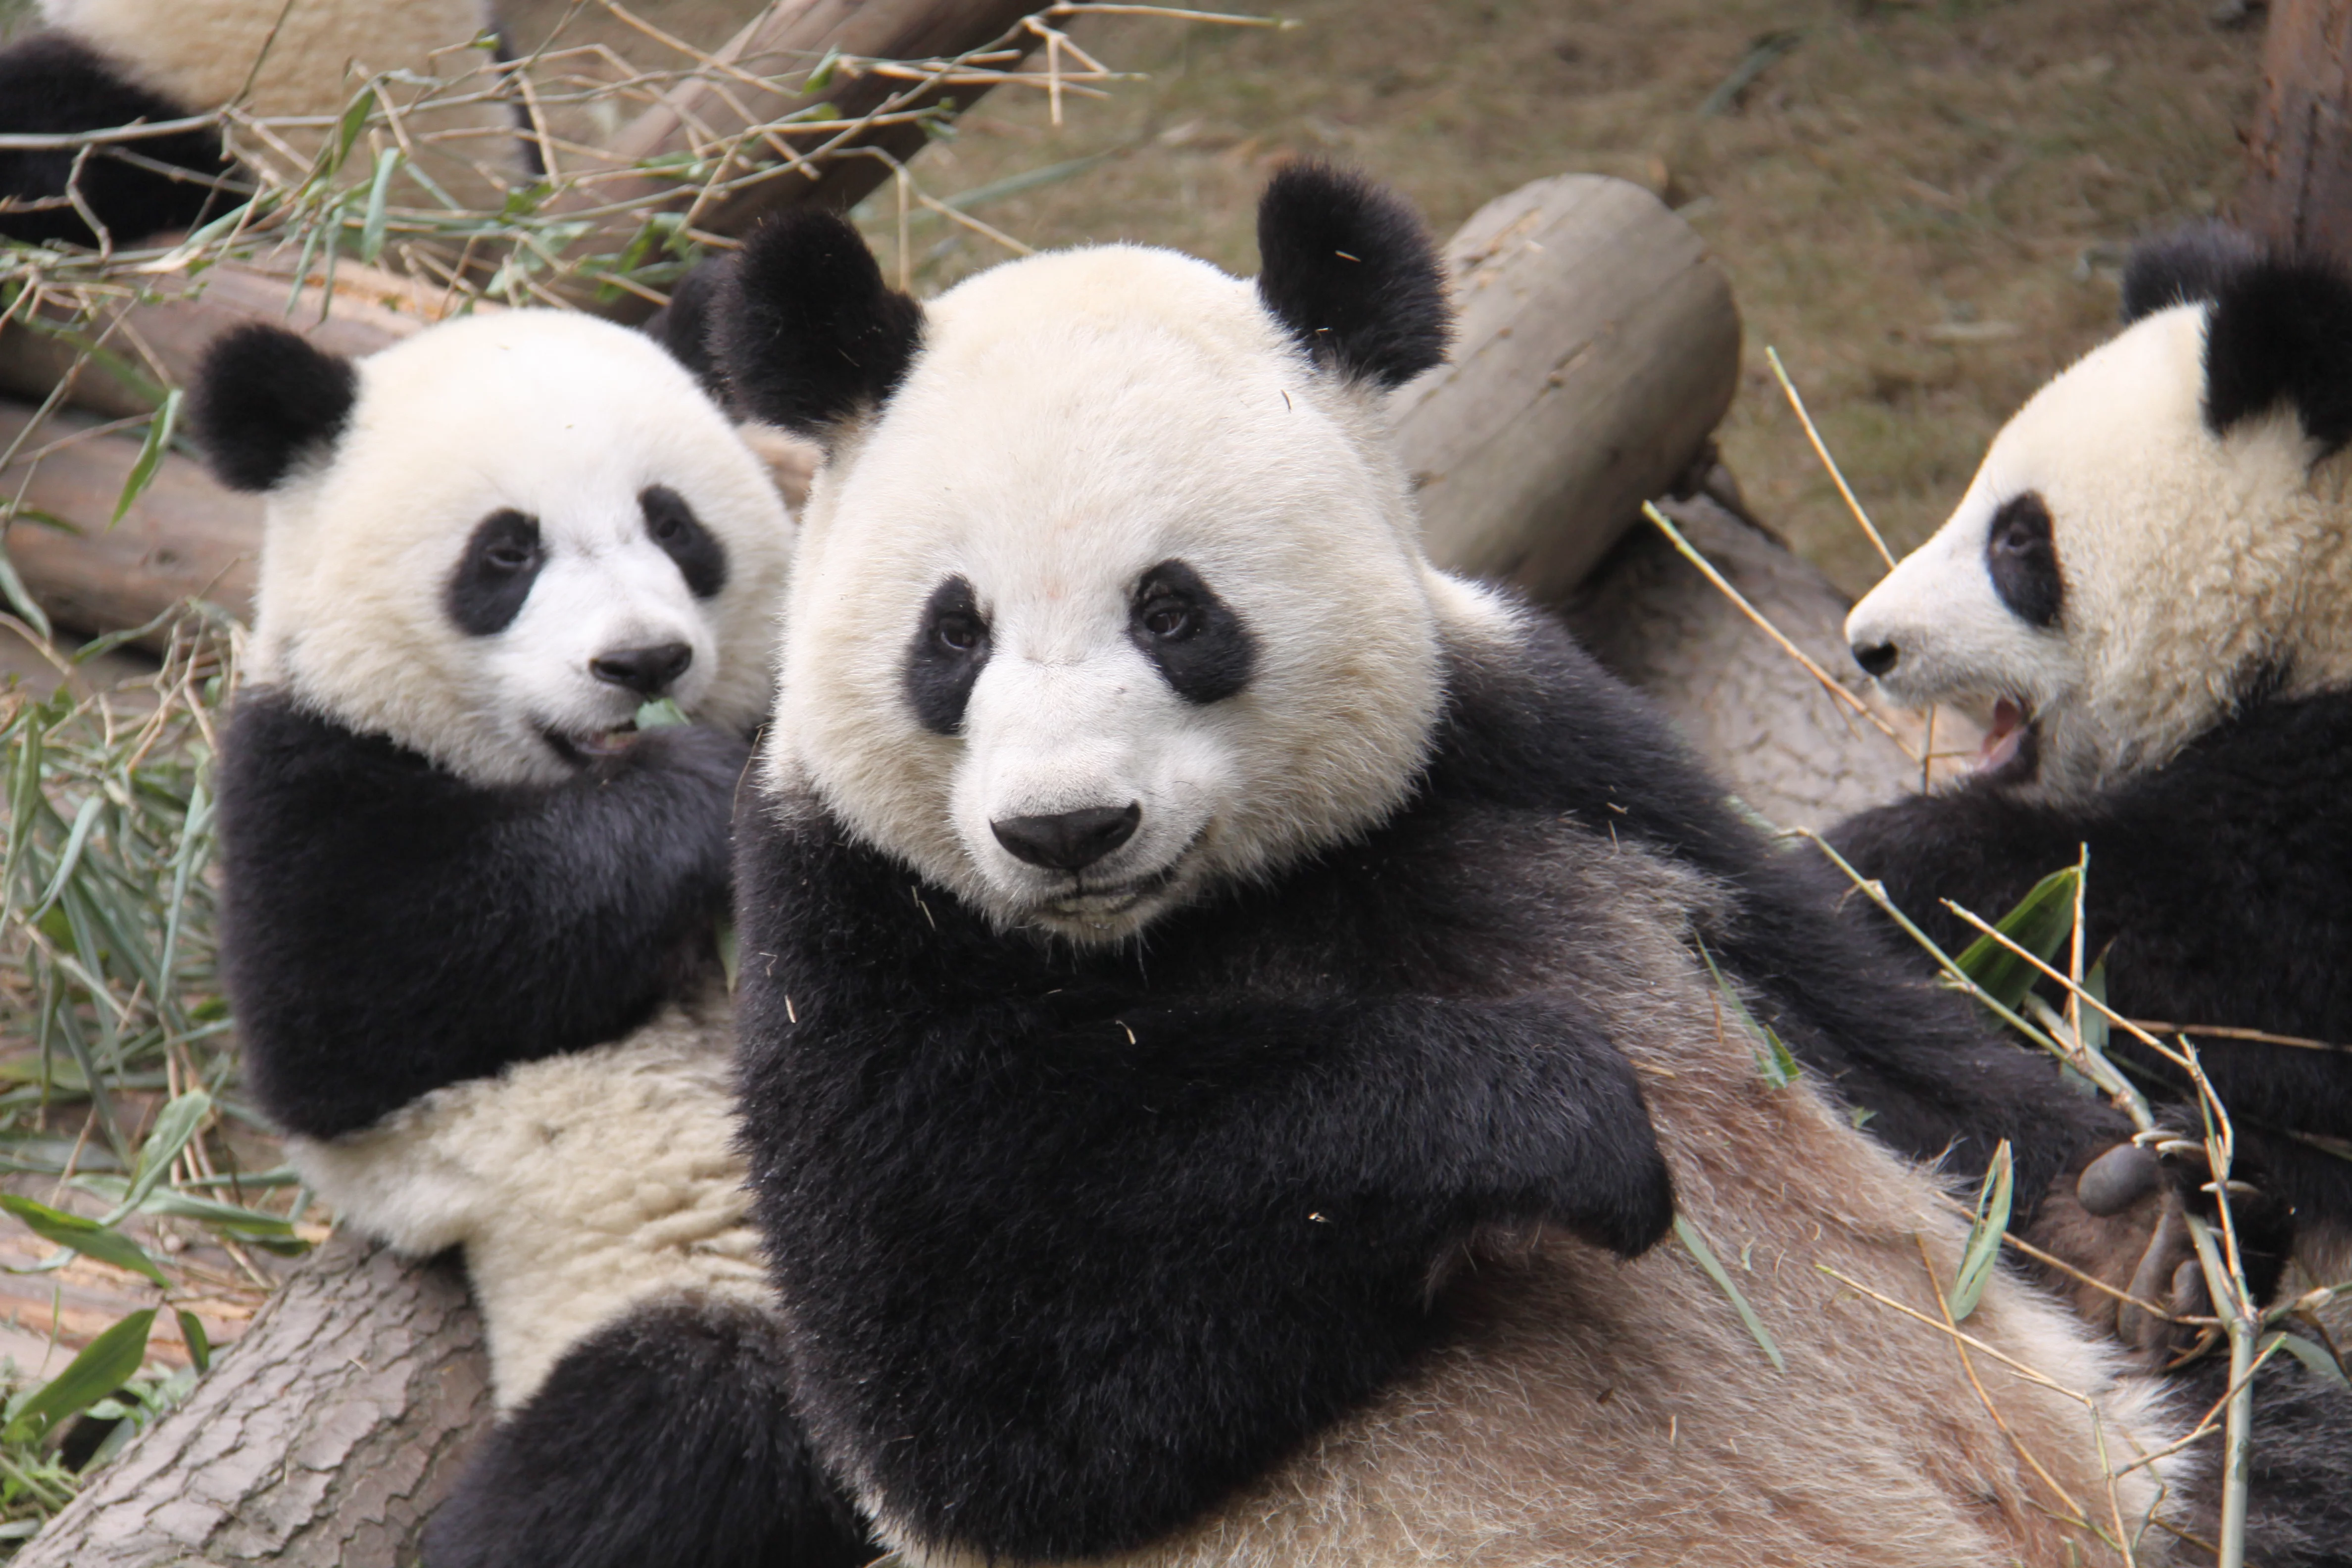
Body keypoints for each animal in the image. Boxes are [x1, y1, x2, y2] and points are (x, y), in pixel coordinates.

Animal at [190, 310, 871, 1568]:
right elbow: (347, 1005)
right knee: (670, 1437)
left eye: (673, 523)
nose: (643, 662)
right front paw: (696, 788)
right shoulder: (303, 767)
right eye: (505, 555)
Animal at [712, 166, 2197, 1566]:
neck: (1187, 921)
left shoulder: (1537, 750)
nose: (1066, 828)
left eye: (1173, 610)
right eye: (952, 633)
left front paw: (2124, 1224)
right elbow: (979, 1380)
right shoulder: (847, 929)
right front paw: (1557, 1116)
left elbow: (1859, 1017)